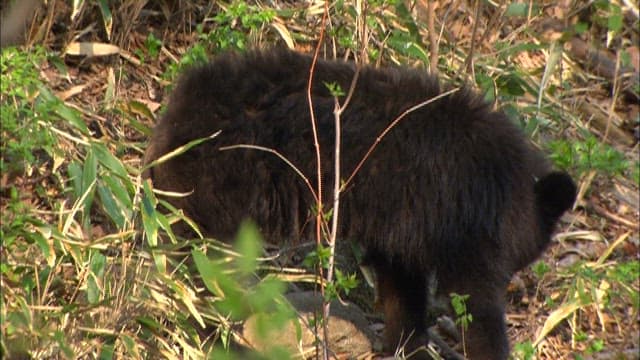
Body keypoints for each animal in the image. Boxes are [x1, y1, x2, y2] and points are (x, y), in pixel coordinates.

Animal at [144, 48, 576, 360]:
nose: (521, 280)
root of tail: (177, 109)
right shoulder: (462, 219)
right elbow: (474, 299)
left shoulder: (405, 223)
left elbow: (403, 284)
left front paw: (408, 345)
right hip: (223, 183)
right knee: (210, 267)